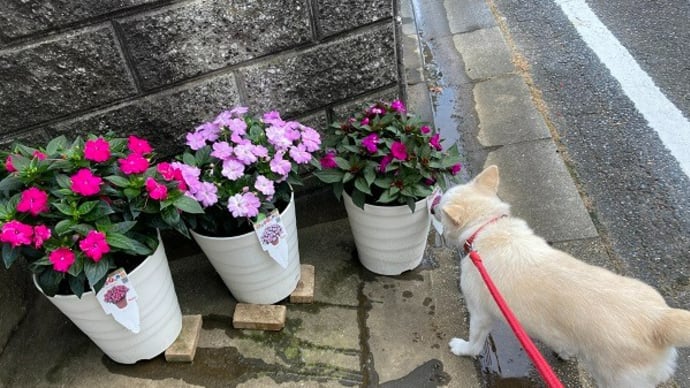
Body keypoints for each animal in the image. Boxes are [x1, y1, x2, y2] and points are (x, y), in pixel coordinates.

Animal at [436, 165, 688, 386]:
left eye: (439, 209)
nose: (433, 202)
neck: (487, 228)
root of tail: (661, 319)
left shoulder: (480, 314)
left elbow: (474, 342)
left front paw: (462, 348)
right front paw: (564, 351)